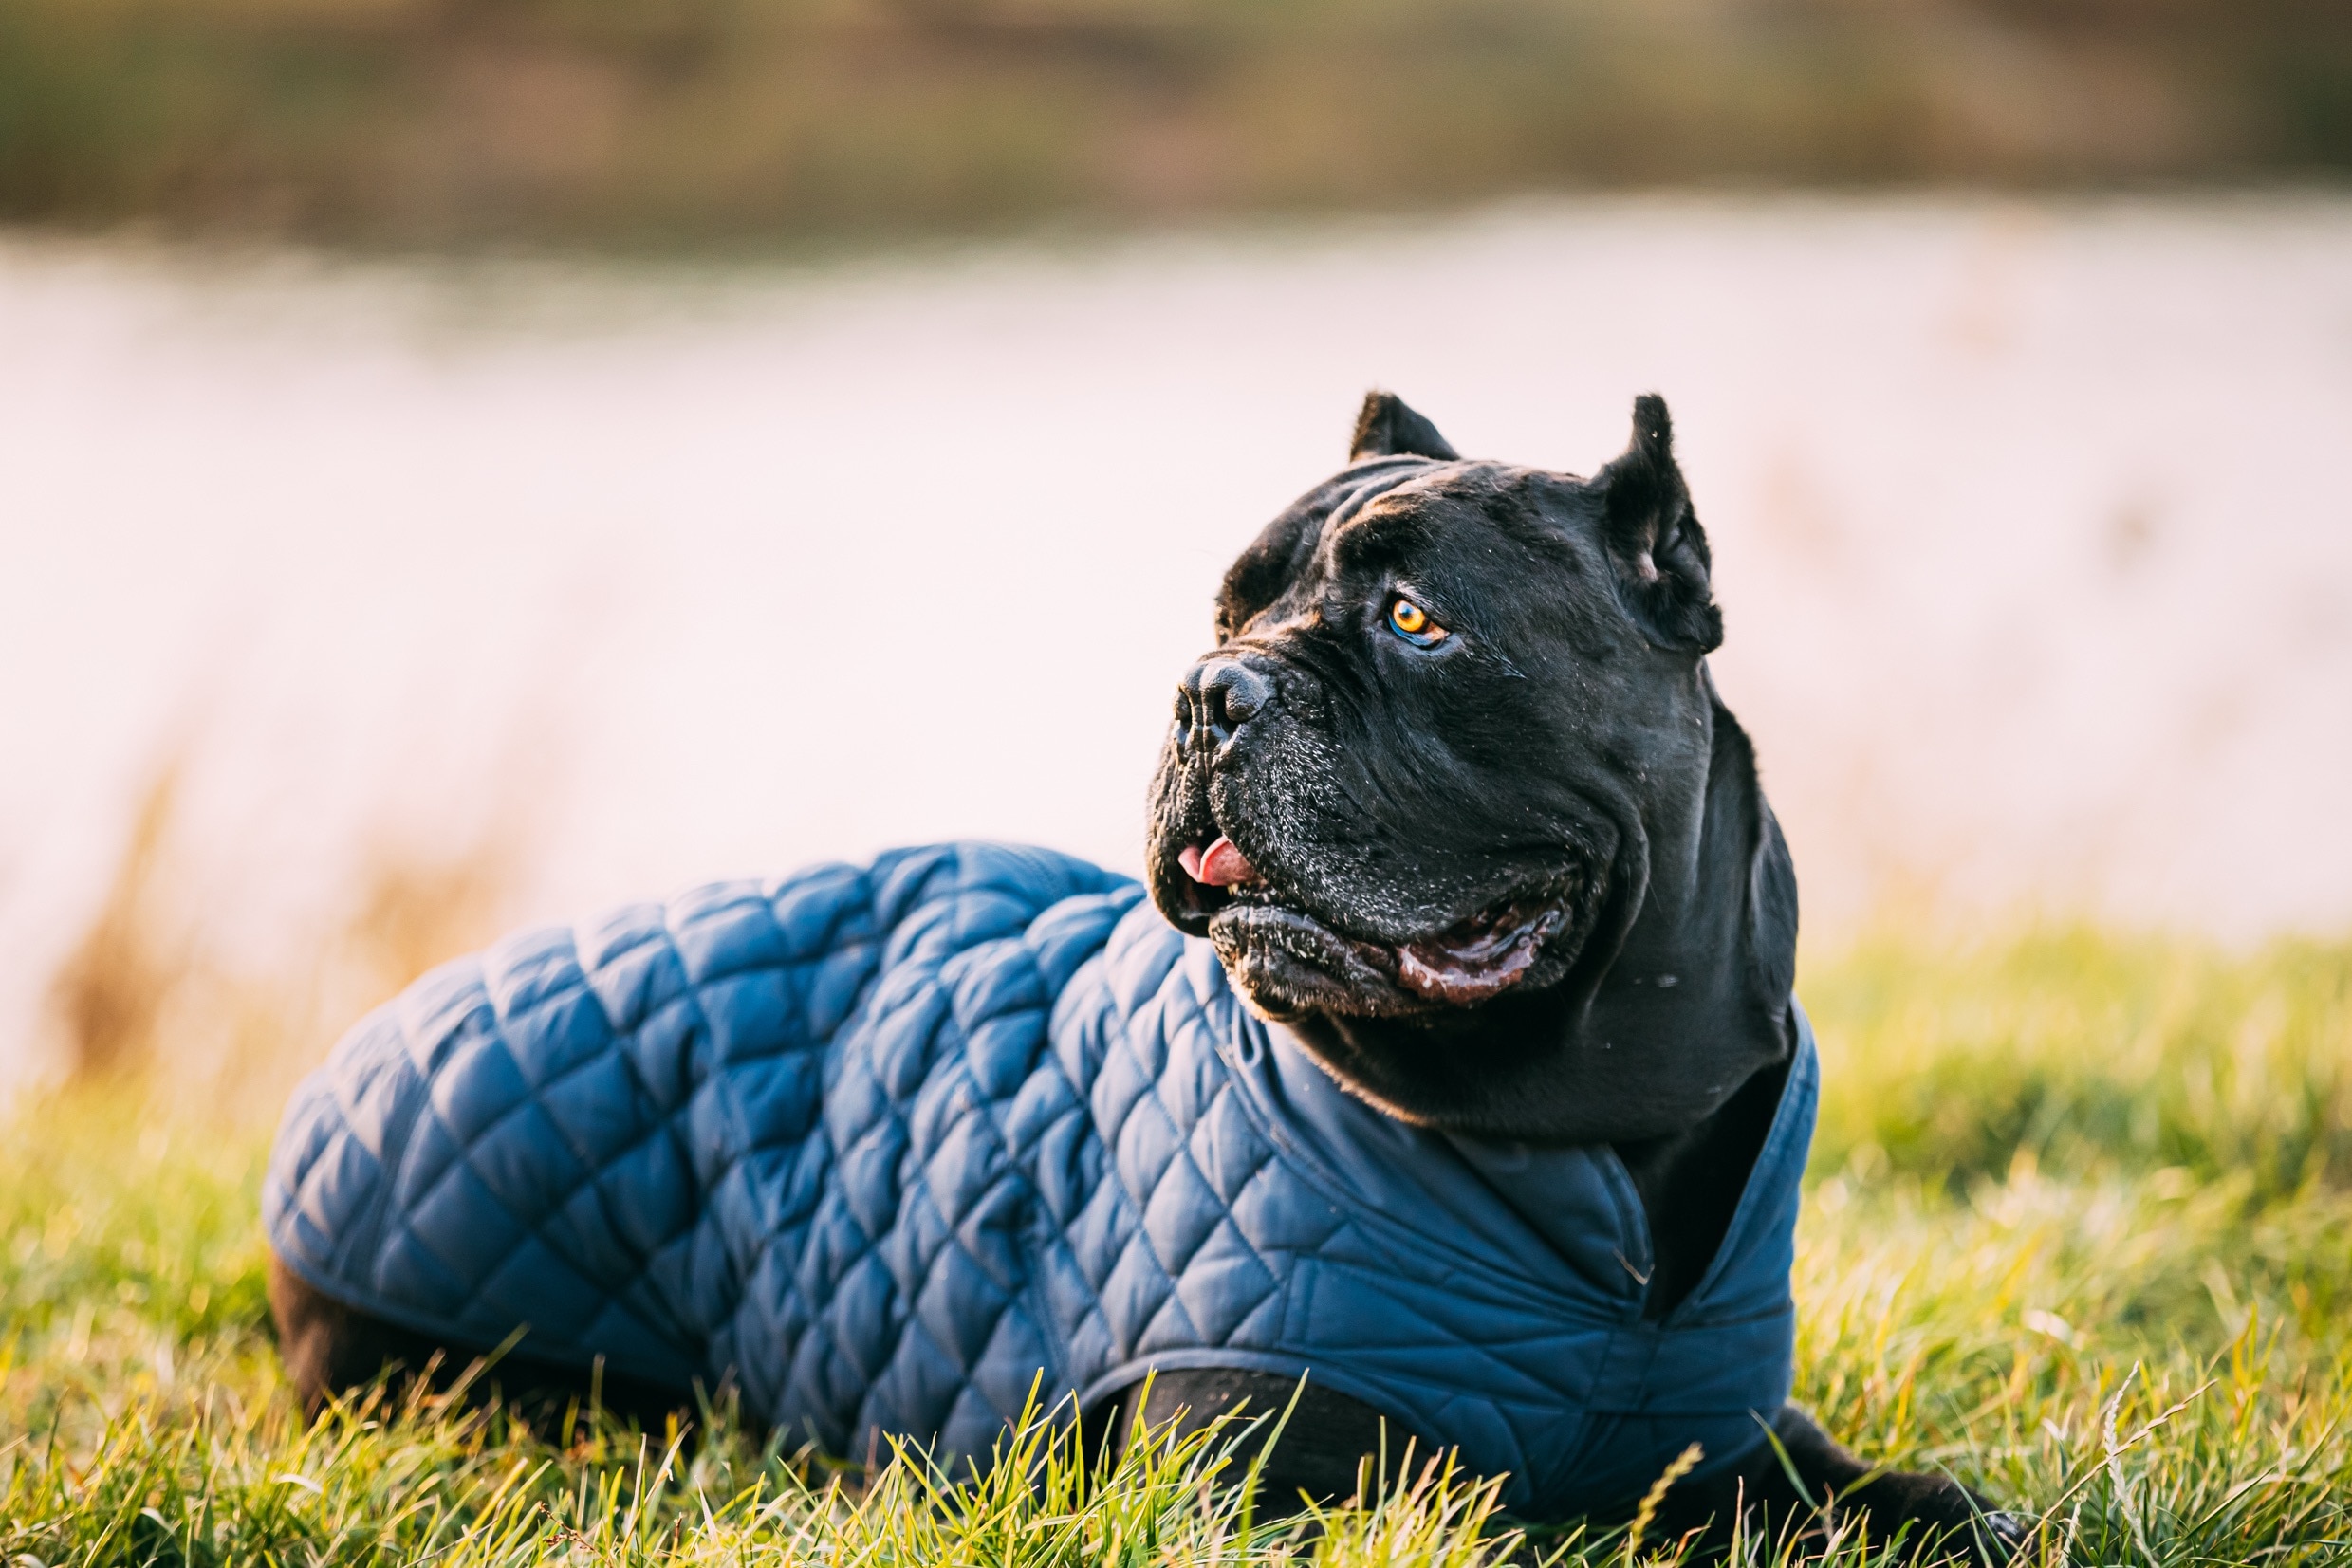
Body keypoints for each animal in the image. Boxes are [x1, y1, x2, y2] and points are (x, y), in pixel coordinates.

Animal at [267, 390, 2013, 1560]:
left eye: (1417, 619)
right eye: (1226, 606)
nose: (1208, 688)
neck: (1582, 1137)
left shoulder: (1731, 1428)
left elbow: (1904, 1498)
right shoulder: (1263, 1485)